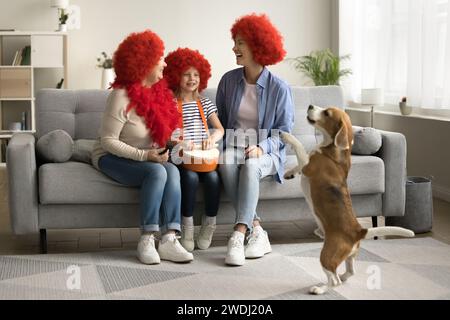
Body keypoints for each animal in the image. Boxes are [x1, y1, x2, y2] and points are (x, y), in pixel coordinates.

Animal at [282, 105, 414, 296]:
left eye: (326, 113)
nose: (310, 106)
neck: (332, 150)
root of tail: (358, 231)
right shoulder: (305, 165)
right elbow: (297, 164)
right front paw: (289, 172)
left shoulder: (308, 164)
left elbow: (299, 147)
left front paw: (286, 135)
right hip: (349, 256)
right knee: (351, 272)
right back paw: (343, 276)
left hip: (327, 255)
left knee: (334, 280)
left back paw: (320, 288)